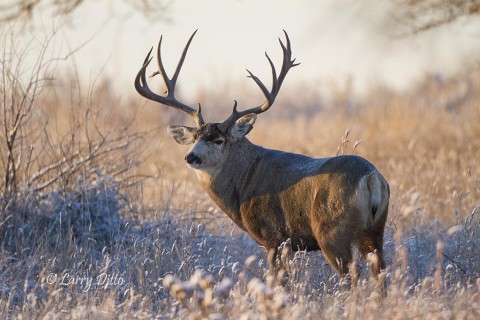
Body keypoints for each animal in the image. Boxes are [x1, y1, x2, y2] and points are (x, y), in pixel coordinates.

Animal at [134, 30, 390, 284]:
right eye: (195, 137)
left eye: (218, 140)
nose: (191, 157)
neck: (244, 182)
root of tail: (371, 177)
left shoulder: (274, 236)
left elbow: (278, 282)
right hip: (375, 231)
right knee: (381, 274)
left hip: (332, 230)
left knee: (353, 278)